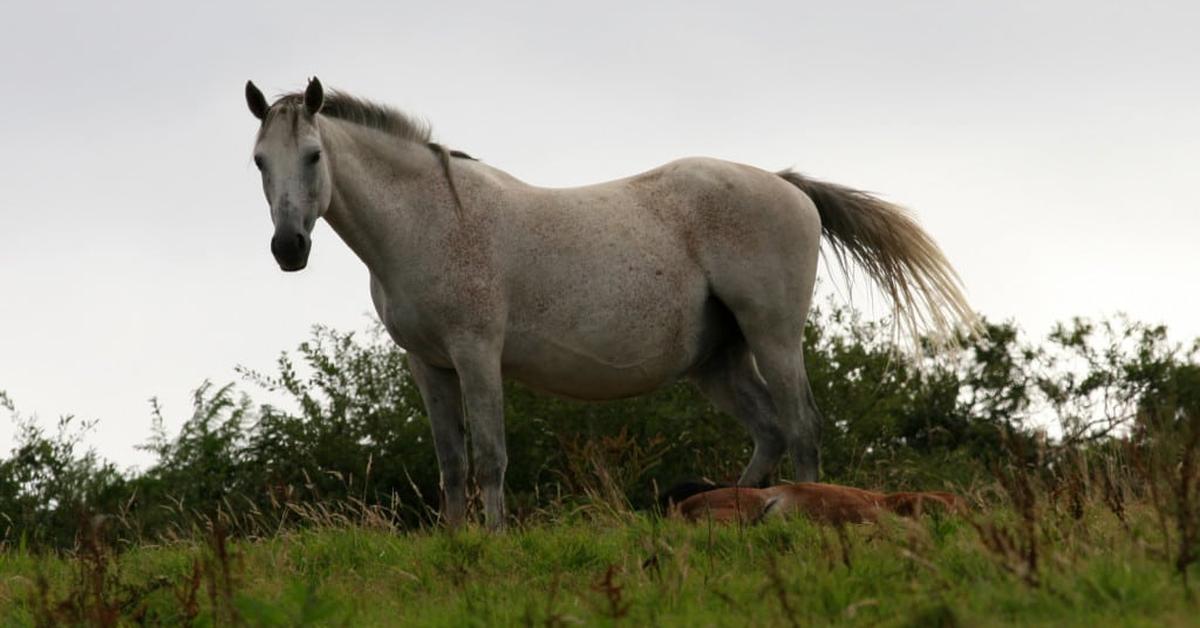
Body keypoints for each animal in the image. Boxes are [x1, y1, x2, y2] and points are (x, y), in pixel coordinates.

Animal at [241, 79, 974, 530]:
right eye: (259, 162)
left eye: (313, 155)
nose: (287, 248)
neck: (427, 219)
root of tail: (786, 185)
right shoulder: (429, 365)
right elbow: (450, 462)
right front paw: (454, 541)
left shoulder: (477, 354)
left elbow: (490, 455)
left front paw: (493, 542)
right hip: (717, 360)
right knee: (768, 430)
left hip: (773, 337)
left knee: (800, 427)